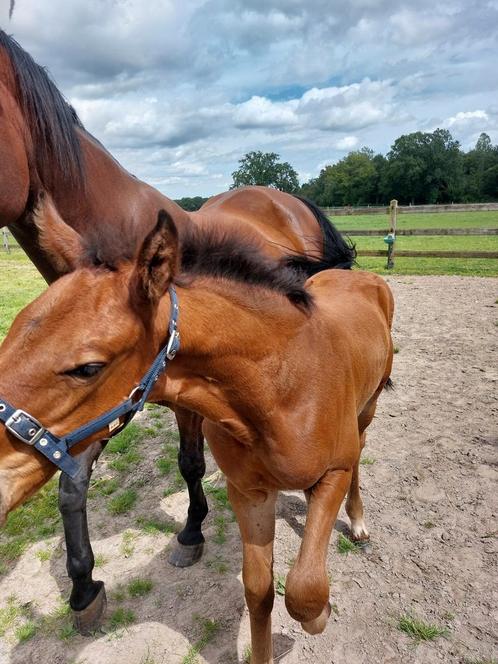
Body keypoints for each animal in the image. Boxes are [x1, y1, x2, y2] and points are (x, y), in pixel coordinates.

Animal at [0, 31, 358, 632]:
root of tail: (284, 196)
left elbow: (190, 462)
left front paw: (191, 532)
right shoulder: (106, 405)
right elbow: (70, 485)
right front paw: (84, 585)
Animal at [0, 211, 392, 664]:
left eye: (87, 367)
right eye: (9, 334)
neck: (282, 387)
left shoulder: (332, 473)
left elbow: (305, 590)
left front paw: (320, 614)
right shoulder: (249, 492)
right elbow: (259, 591)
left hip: (368, 409)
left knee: (361, 453)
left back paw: (358, 523)